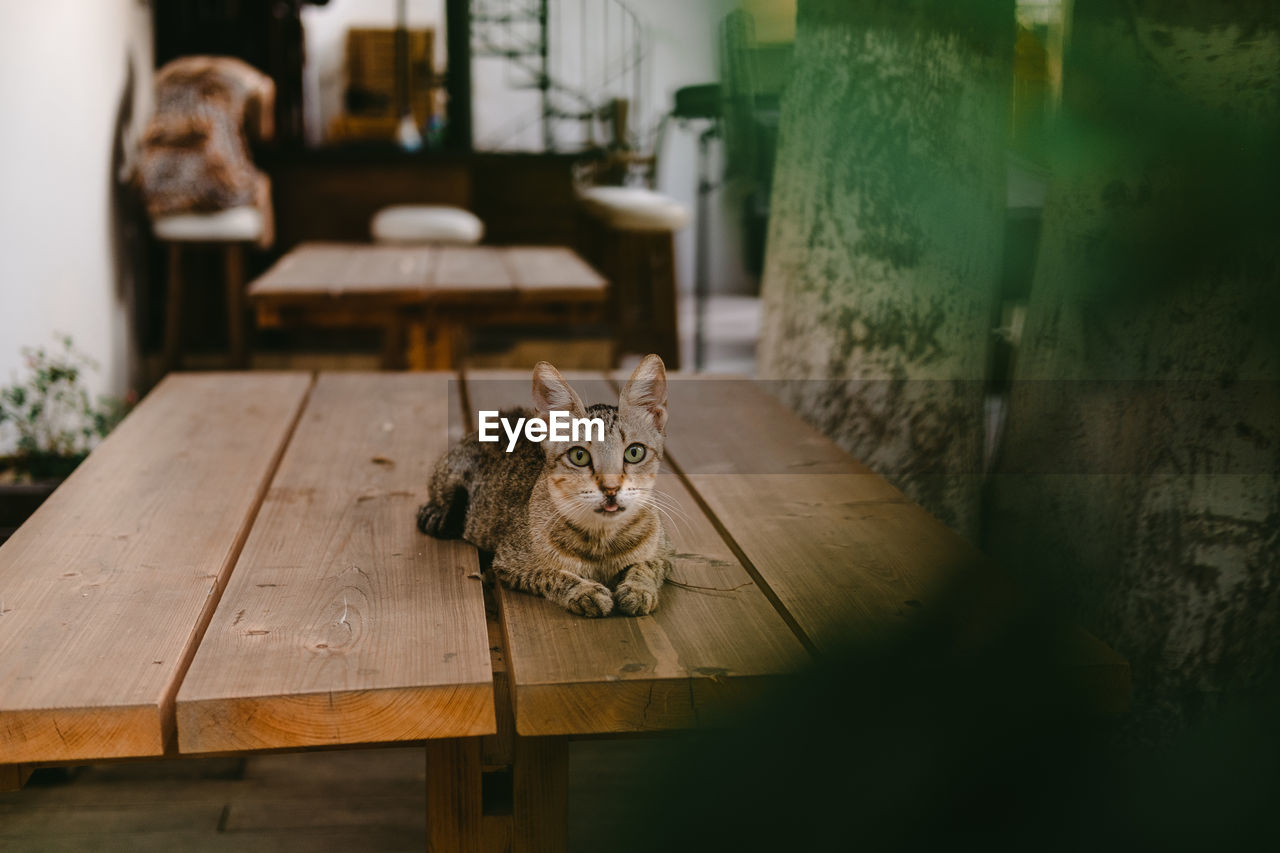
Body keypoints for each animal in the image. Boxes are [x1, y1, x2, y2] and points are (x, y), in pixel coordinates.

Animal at [422, 356, 680, 614]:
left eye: (634, 452)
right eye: (579, 456)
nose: (611, 488)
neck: (603, 539)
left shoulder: (667, 552)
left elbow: (646, 566)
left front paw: (638, 589)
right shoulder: (509, 562)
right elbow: (552, 575)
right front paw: (584, 590)